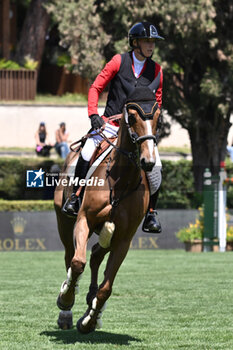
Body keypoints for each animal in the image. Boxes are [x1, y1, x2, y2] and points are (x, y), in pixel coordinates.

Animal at [54, 83, 161, 332]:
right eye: (132, 116)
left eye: (158, 117)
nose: (148, 161)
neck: (121, 181)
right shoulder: (83, 221)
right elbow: (77, 263)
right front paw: (66, 299)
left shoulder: (123, 238)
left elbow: (106, 287)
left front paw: (90, 319)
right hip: (65, 223)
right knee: (71, 256)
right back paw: (66, 311)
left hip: (108, 235)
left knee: (95, 256)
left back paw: (91, 307)